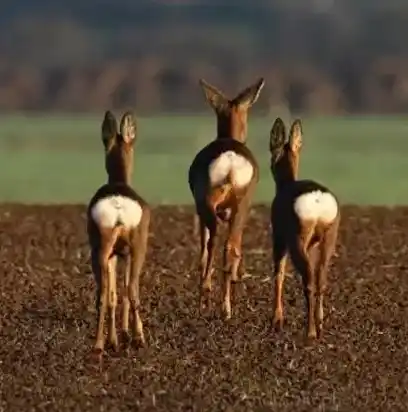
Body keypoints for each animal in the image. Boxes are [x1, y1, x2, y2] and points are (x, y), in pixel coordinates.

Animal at [86, 111, 150, 358]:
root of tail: (118, 207)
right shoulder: (127, 253)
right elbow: (123, 291)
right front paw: (125, 335)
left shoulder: (115, 254)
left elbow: (114, 295)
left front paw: (115, 340)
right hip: (137, 246)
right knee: (131, 290)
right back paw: (139, 339)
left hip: (101, 249)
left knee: (104, 294)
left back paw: (99, 345)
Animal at [188, 79, 264, 320]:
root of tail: (230, 162)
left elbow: (203, 248)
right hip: (241, 205)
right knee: (230, 245)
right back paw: (226, 306)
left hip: (208, 203)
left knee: (214, 242)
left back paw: (207, 299)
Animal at [270, 117, 340, 340]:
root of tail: (318, 199)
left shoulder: (279, 237)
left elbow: (279, 273)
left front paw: (276, 321)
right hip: (328, 238)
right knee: (321, 280)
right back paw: (320, 325)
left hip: (297, 238)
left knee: (308, 281)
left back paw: (309, 332)